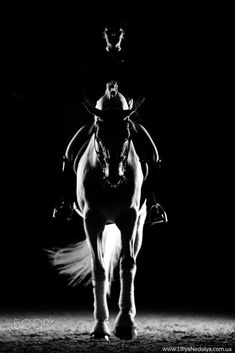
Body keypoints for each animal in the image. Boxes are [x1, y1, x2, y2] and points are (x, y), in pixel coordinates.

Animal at [49, 95, 147, 338]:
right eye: (99, 135)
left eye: (127, 135)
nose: (114, 175)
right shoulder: (92, 221)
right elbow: (99, 269)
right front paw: (101, 327)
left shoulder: (130, 219)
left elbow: (127, 264)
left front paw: (125, 324)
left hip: (139, 223)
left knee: (132, 260)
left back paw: (130, 314)